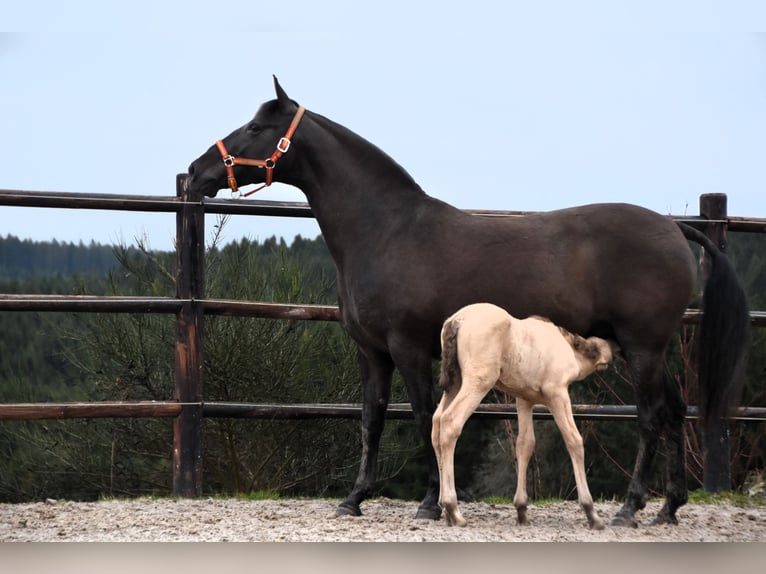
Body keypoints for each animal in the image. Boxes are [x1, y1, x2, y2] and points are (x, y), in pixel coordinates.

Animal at [432, 304, 616, 532]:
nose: (614, 349)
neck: (567, 349)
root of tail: (457, 321)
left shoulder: (524, 400)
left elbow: (525, 444)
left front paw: (521, 511)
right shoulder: (557, 394)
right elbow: (574, 440)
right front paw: (592, 514)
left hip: (454, 384)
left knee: (436, 424)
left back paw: (445, 509)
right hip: (478, 381)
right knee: (450, 422)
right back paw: (453, 510)